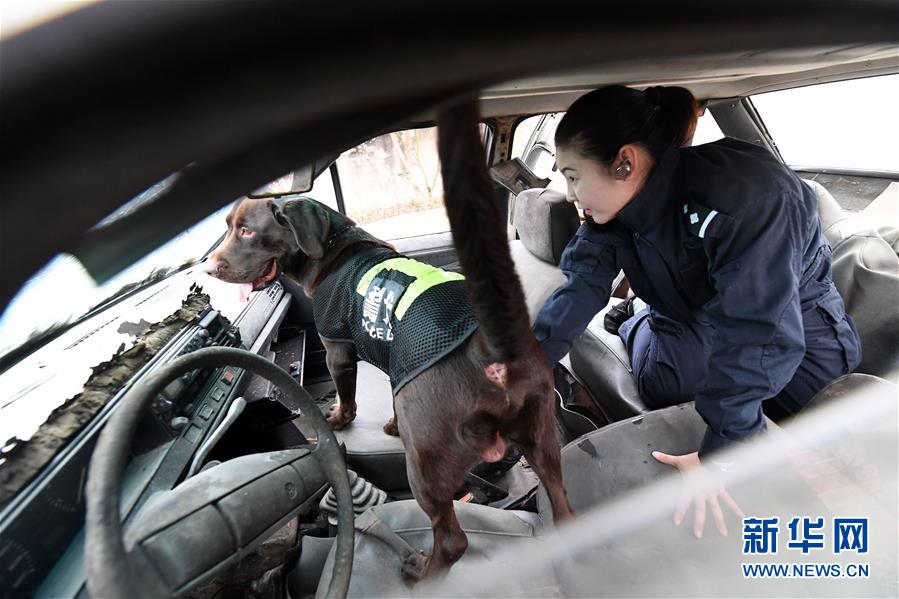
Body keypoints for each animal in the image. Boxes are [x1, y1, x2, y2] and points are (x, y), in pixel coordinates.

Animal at [205, 101, 572, 580]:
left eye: (247, 231)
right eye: (230, 227)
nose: (208, 268)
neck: (335, 246)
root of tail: (493, 358)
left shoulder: (339, 350)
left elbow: (347, 394)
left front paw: (338, 418)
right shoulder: (398, 364)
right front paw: (390, 424)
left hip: (424, 461)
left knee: (452, 540)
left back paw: (422, 569)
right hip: (542, 437)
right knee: (559, 498)